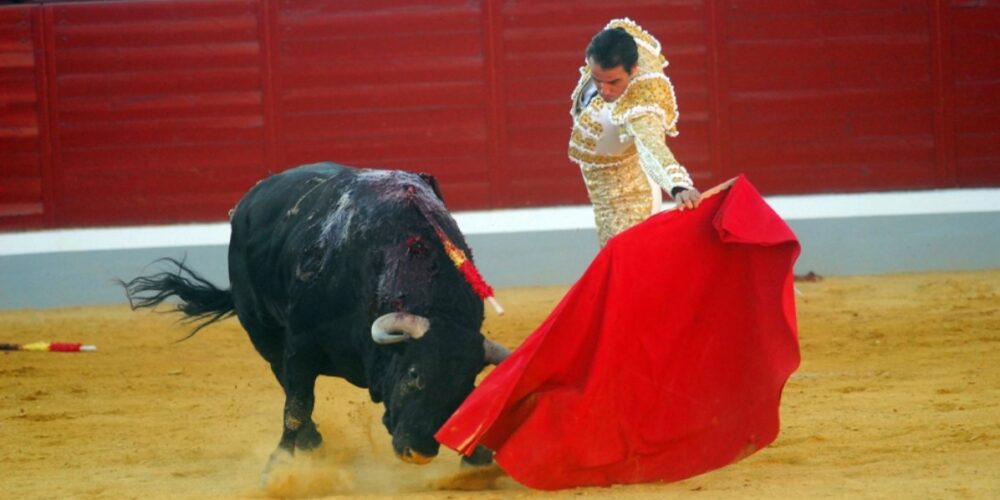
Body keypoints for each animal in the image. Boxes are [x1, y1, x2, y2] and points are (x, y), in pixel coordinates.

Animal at [123, 164, 508, 476]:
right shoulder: (301, 344)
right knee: (283, 380)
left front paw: (479, 460)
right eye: (413, 374)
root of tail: (251, 199)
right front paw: (278, 467)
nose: (420, 452)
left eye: (466, 386)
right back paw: (310, 443)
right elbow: (296, 404)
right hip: (262, 332)